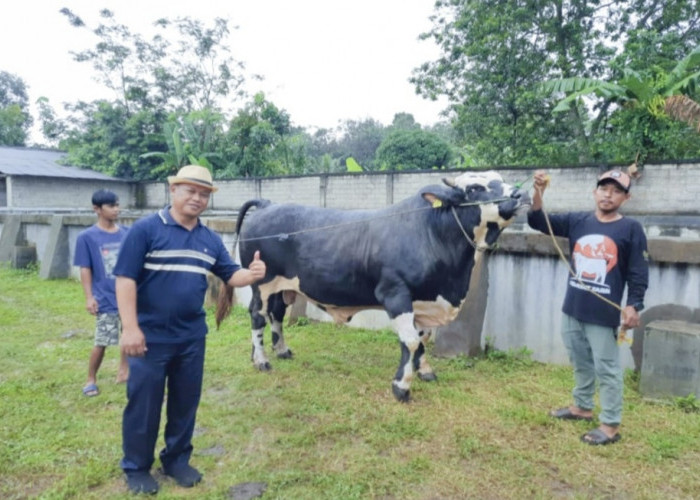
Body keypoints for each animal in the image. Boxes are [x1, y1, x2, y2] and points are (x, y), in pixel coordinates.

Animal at [216, 172, 528, 402]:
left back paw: (280, 350)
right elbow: (410, 341)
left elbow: (423, 338)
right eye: (475, 187)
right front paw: (402, 386)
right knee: (257, 316)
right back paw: (261, 360)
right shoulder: (395, 294)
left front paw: (425, 371)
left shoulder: (423, 300)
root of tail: (268, 203)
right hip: (261, 283)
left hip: (283, 287)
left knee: (278, 314)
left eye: (501, 177)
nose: (519, 195)